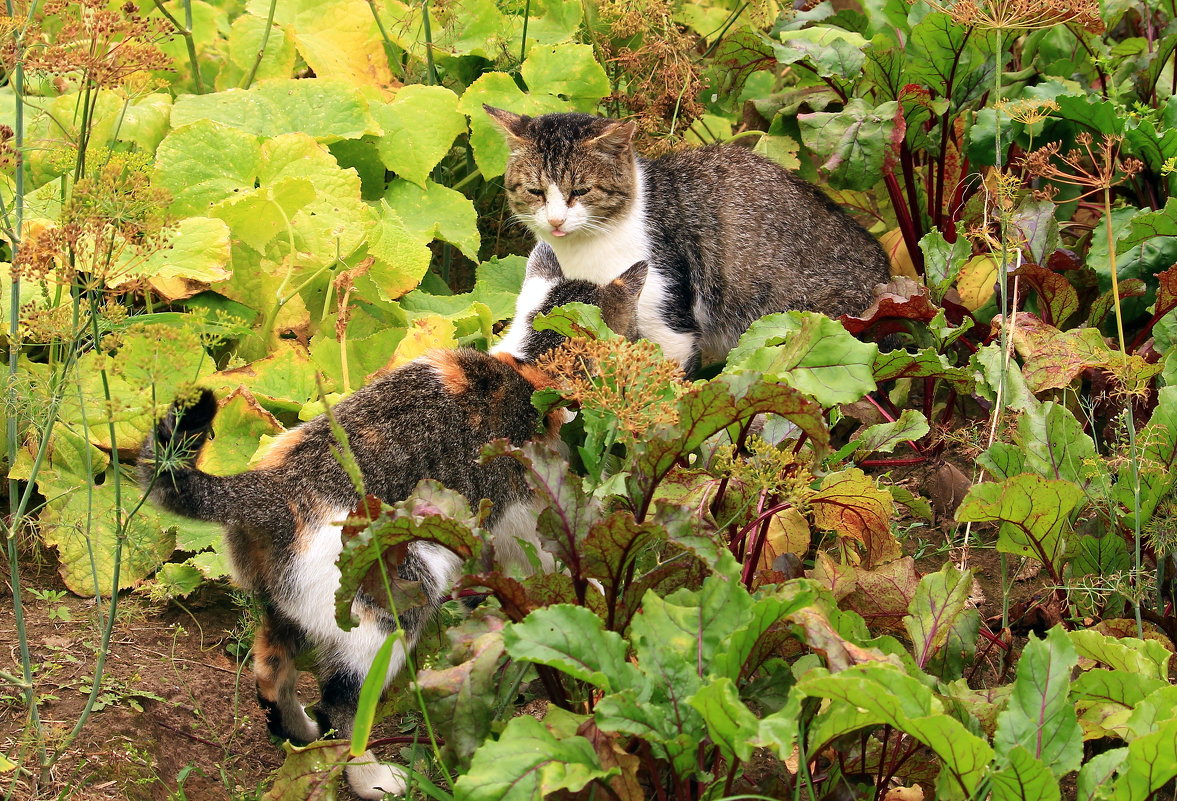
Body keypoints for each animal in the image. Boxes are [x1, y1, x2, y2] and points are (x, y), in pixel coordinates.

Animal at [144, 258, 654, 795]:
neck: (530, 365)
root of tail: (272, 490)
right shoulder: (529, 516)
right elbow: (573, 569)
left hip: (284, 607)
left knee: (271, 672)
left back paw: (302, 735)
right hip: (395, 599)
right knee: (344, 704)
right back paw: (372, 777)